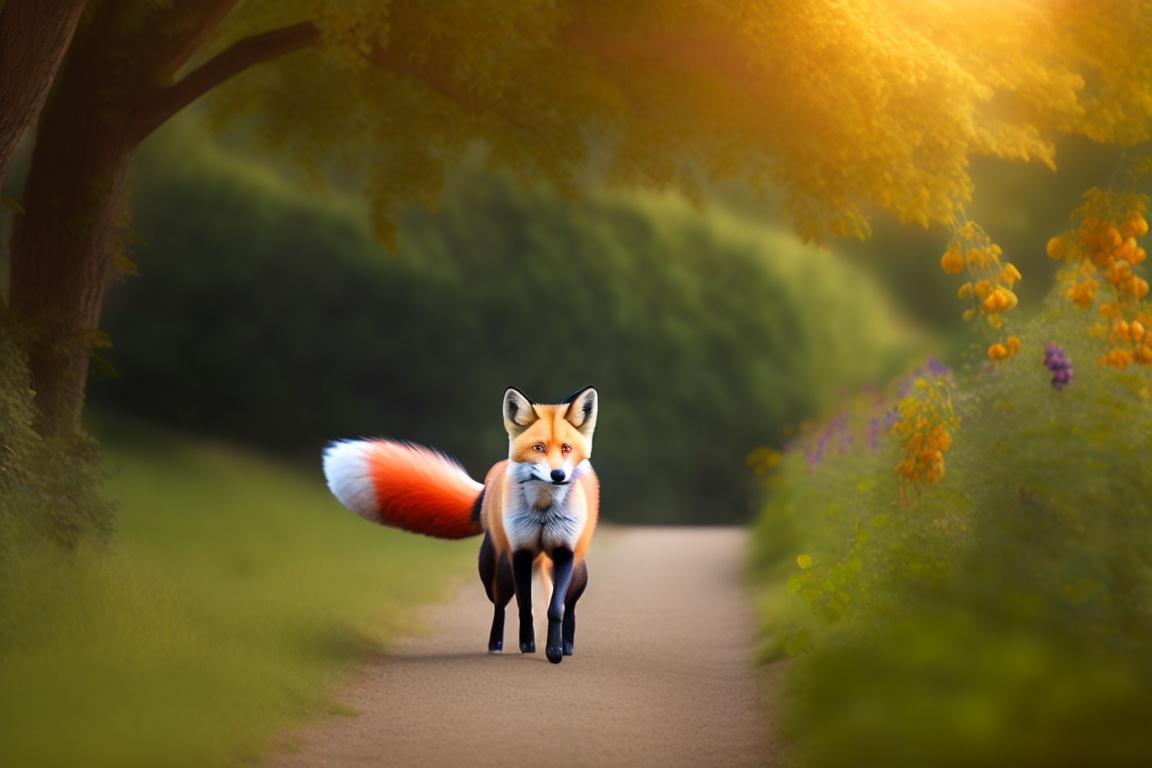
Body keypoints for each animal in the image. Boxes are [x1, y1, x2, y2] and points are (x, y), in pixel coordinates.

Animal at [321, 386, 599, 665]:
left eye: (566, 448)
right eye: (538, 447)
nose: (558, 475)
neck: (542, 512)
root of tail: (492, 479)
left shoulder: (564, 553)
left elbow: (555, 609)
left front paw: (554, 650)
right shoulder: (520, 553)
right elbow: (525, 607)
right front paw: (528, 644)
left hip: (576, 575)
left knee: (569, 607)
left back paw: (567, 644)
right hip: (497, 572)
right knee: (500, 606)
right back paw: (497, 644)